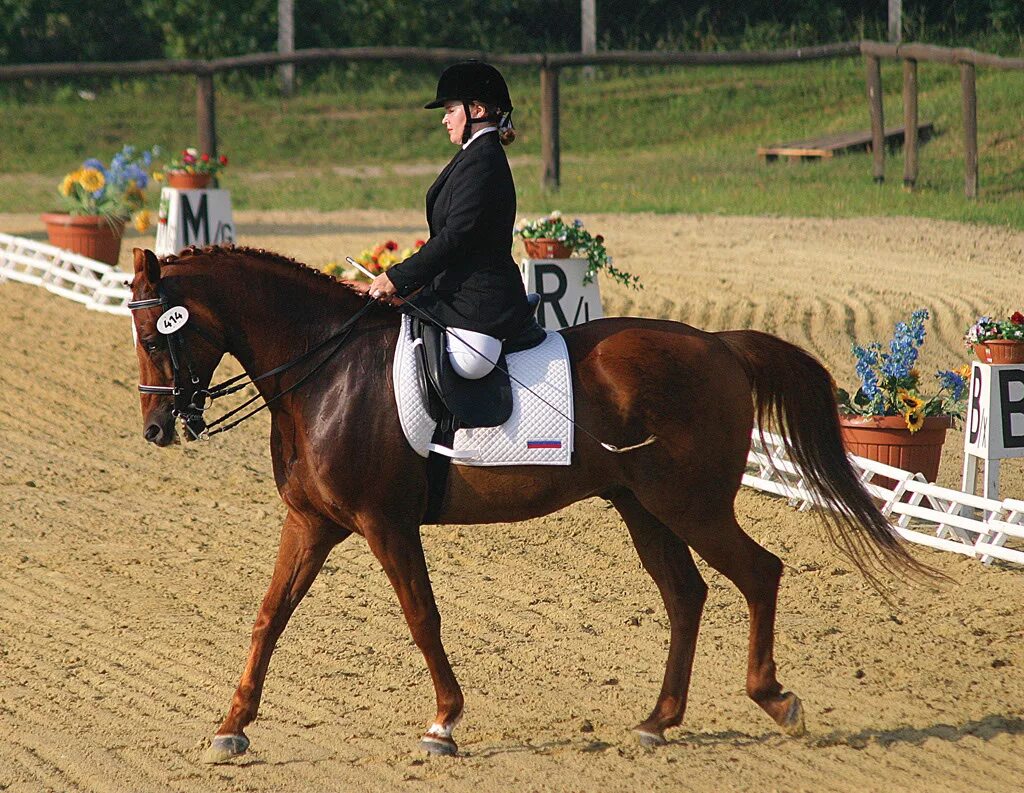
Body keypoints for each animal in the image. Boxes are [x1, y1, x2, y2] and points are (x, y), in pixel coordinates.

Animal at [125, 246, 929, 762]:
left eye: (156, 334)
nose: (158, 428)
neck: (324, 370)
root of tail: (719, 345)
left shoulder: (386, 523)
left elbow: (421, 617)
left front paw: (443, 725)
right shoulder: (313, 522)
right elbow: (270, 615)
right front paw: (232, 726)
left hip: (692, 505)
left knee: (759, 573)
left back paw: (776, 700)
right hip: (642, 507)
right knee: (686, 595)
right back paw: (658, 721)